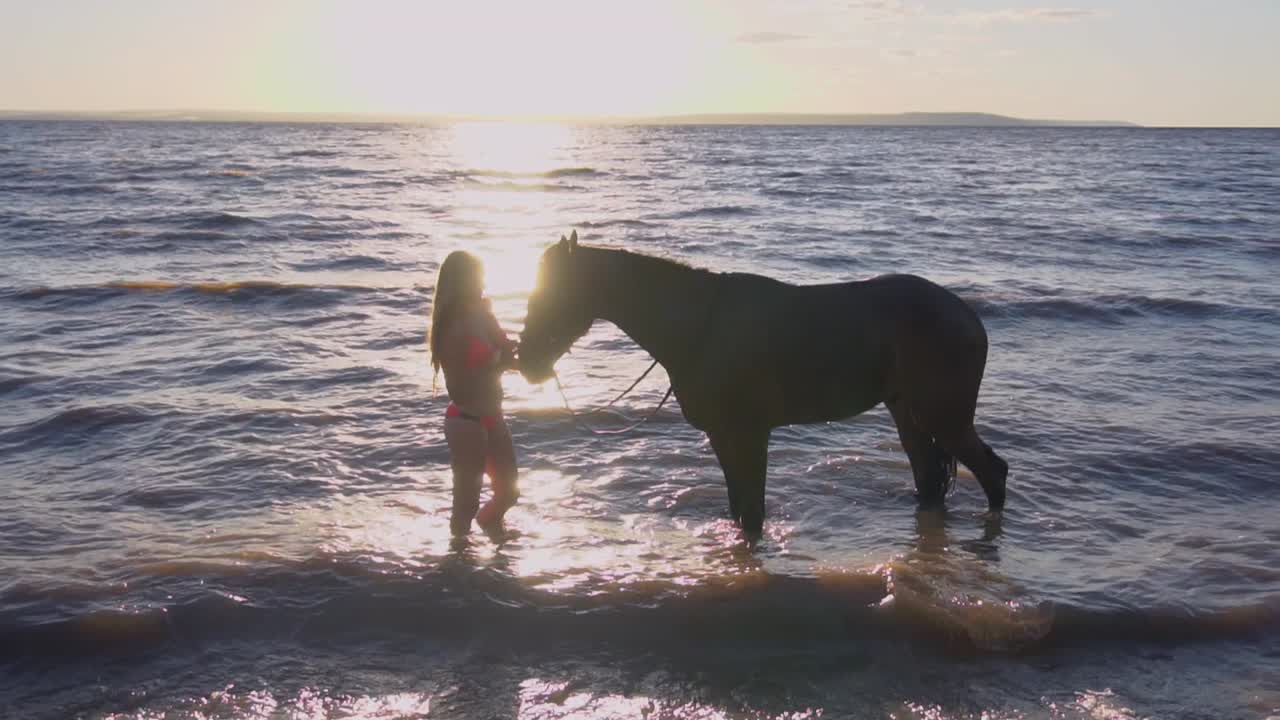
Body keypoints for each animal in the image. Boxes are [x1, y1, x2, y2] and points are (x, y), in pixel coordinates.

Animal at [518, 230, 1008, 538]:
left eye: (551, 294)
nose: (526, 361)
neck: (698, 327)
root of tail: (969, 317)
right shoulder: (723, 436)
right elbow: (739, 507)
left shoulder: (751, 434)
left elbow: (752, 512)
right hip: (909, 416)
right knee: (929, 477)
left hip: (945, 420)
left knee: (992, 471)